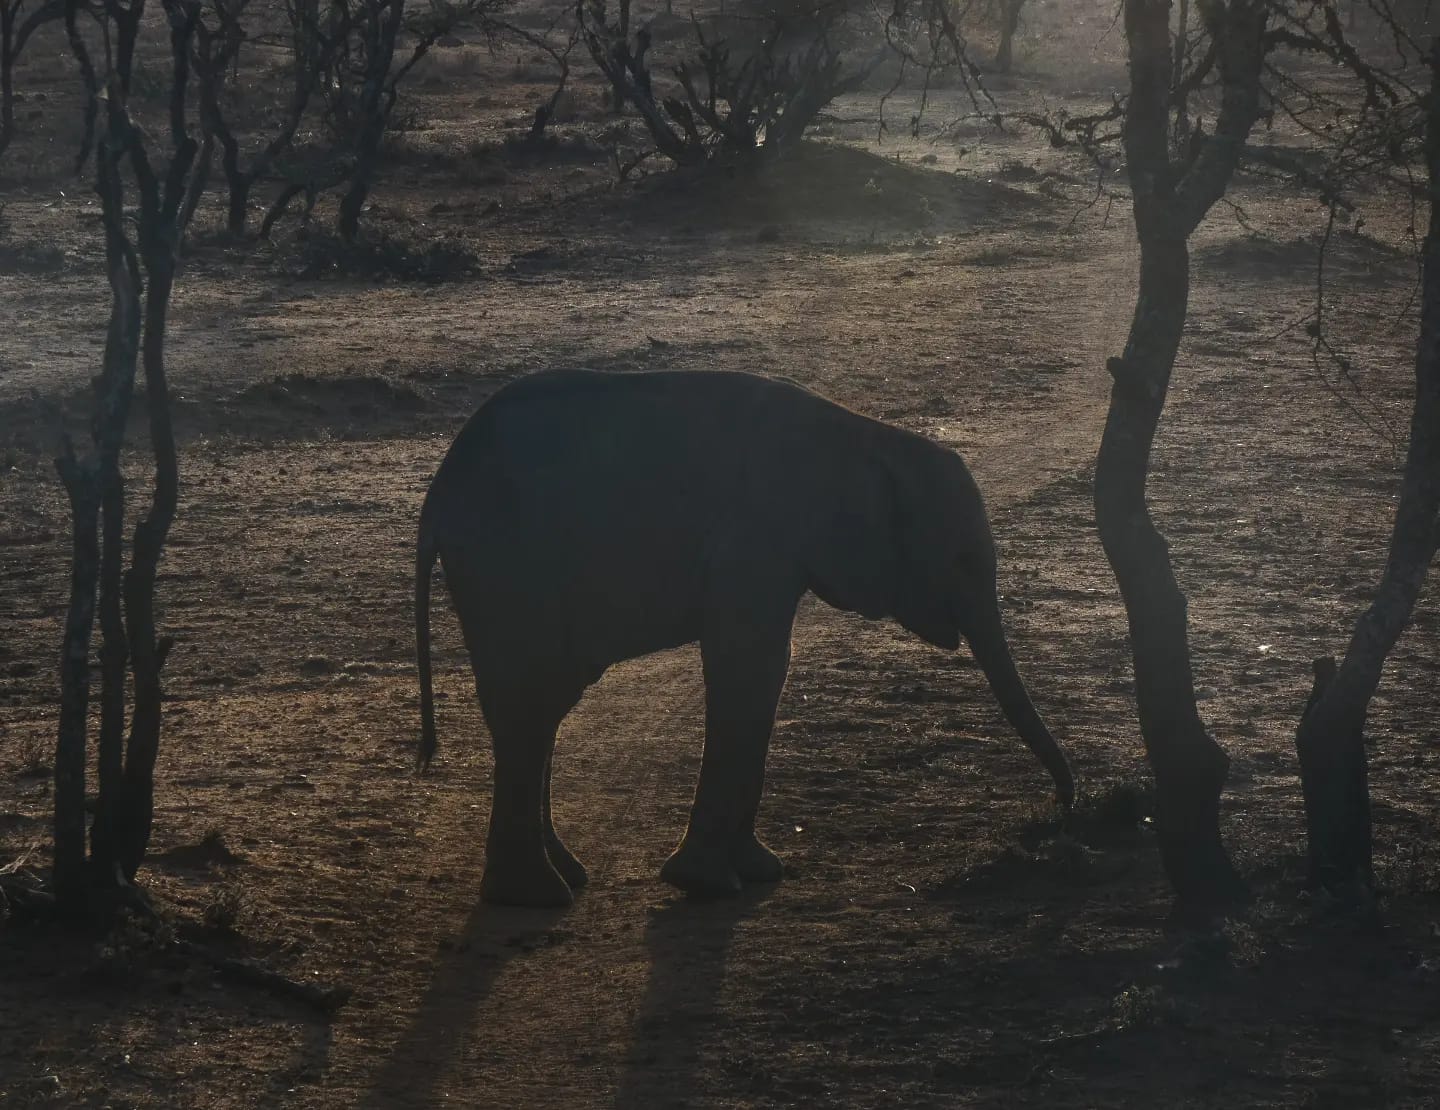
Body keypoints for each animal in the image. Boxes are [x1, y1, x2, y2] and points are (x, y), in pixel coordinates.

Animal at [414, 368, 1074, 907]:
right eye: (962, 560)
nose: (1061, 807)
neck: (865, 435)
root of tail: (438, 494)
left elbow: (770, 669)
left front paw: (759, 872)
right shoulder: (757, 540)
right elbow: (744, 662)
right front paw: (706, 884)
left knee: (544, 705)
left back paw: (563, 878)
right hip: (506, 569)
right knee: (530, 702)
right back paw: (538, 897)